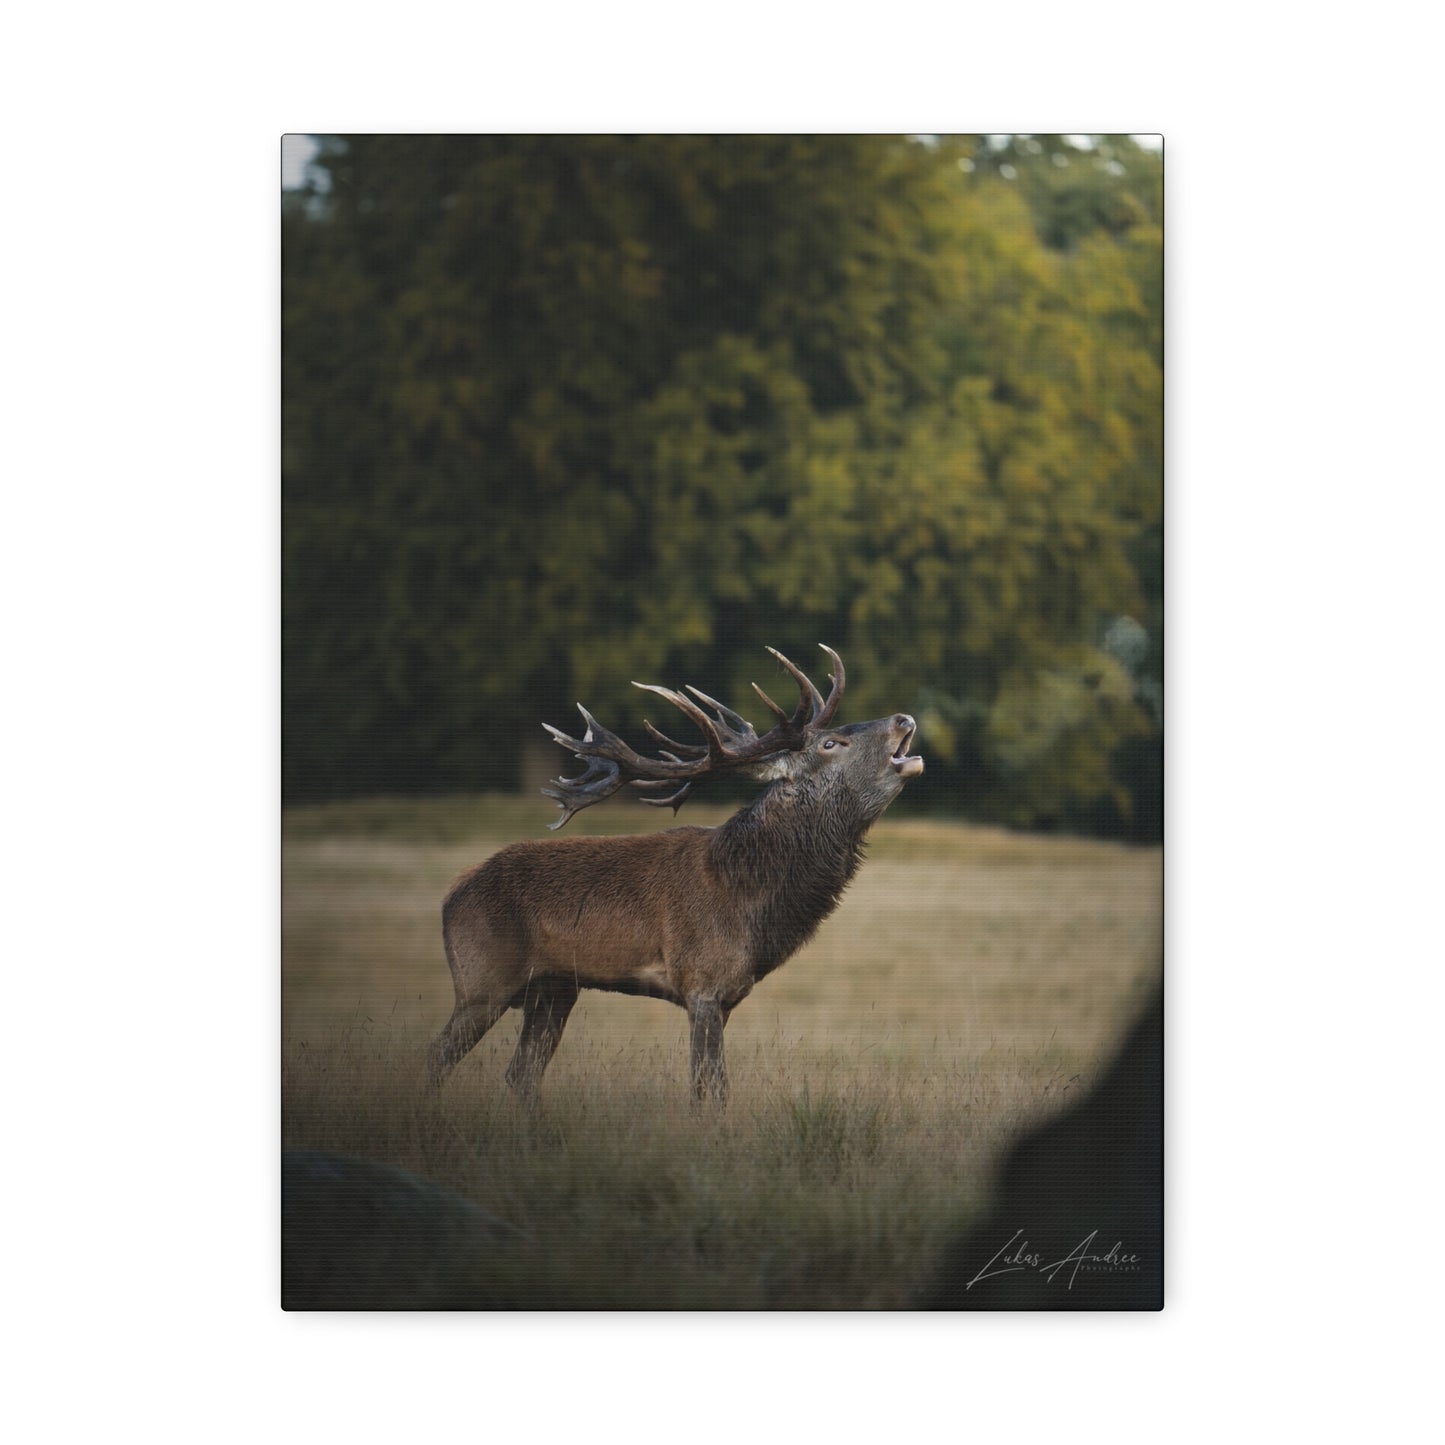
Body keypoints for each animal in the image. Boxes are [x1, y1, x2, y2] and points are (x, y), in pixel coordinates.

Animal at [425, 645, 924, 1102]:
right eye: (830, 743)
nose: (904, 718)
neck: (748, 902)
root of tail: (453, 893)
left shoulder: (726, 995)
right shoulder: (702, 980)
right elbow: (709, 1090)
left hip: (554, 988)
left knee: (521, 1077)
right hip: (482, 979)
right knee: (437, 1057)